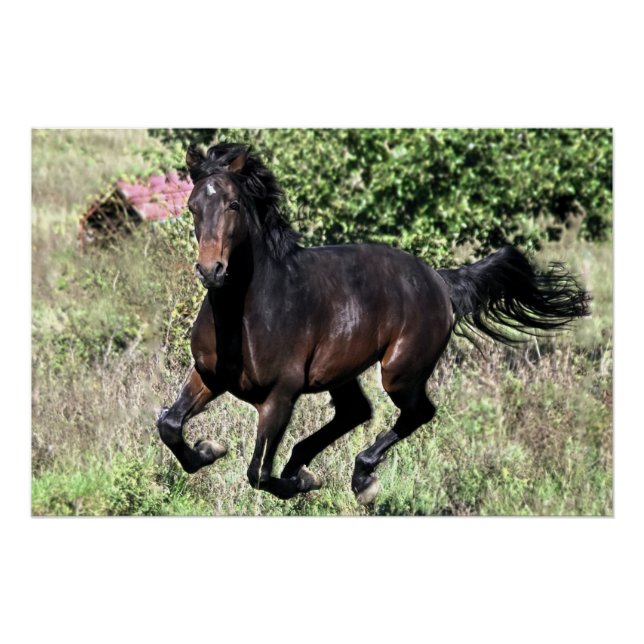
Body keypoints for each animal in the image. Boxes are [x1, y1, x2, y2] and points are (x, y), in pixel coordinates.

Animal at [156, 142, 590, 504]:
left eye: (233, 205)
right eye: (192, 206)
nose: (211, 270)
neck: (247, 312)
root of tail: (439, 280)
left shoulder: (280, 395)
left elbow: (258, 473)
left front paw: (298, 483)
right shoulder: (208, 375)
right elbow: (170, 425)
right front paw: (209, 450)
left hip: (399, 371)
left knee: (415, 413)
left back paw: (360, 478)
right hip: (342, 370)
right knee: (356, 412)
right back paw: (307, 467)